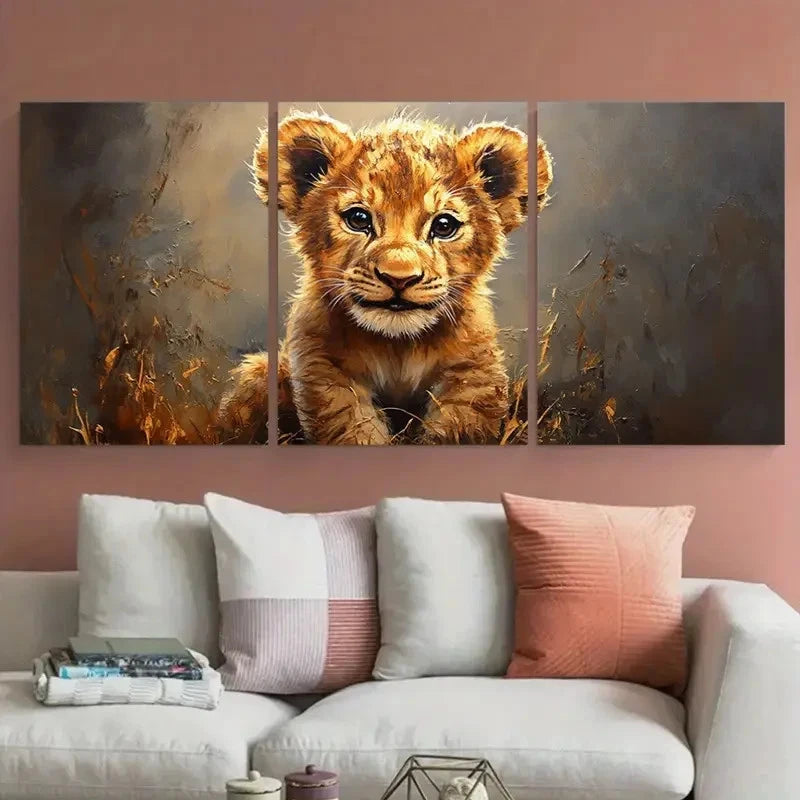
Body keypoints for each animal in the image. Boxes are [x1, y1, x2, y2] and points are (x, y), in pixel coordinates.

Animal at [219, 111, 553, 445]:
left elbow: (457, 427)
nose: (399, 278)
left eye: (444, 225)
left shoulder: (473, 372)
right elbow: (351, 426)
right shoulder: (323, 367)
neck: (398, 348)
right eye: (358, 219)